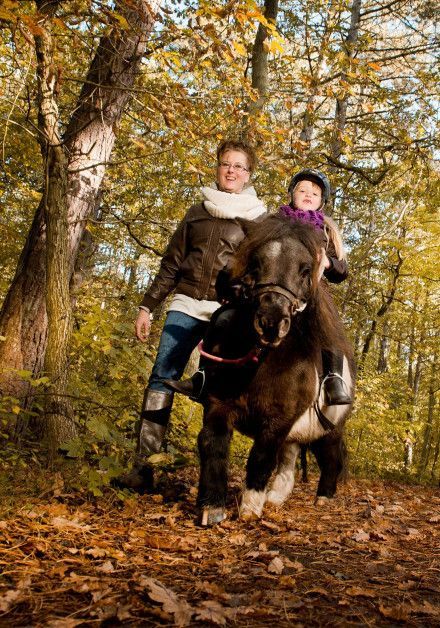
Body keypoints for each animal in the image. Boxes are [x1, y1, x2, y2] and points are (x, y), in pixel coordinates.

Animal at [195, 216, 354, 524]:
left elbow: (261, 456)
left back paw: (323, 498)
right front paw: (213, 506)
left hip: (330, 430)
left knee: (331, 459)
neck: (261, 361)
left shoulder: (279, 420)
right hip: (297, 434)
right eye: (255, 263)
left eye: (305, 269)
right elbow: (212, 443)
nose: (271, 322)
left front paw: (249, 508)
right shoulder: (218, 403)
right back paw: (276, 498)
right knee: (289, 463)